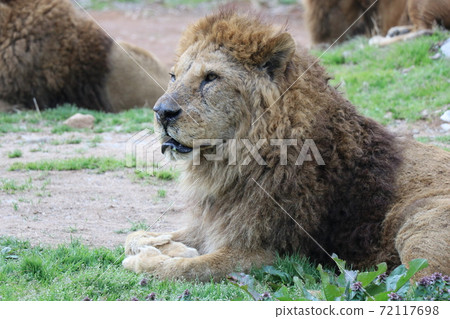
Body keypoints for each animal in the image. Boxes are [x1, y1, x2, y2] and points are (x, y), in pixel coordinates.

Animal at [121, 10, 448, 282]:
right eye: (173, 76)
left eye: (211, 77)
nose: (161, 112)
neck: (231, 163)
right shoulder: (217, 223)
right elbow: (134, 236)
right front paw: (163, 245)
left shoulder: (267, 256)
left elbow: (186, 269)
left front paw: (148, 261)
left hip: (418, 227)